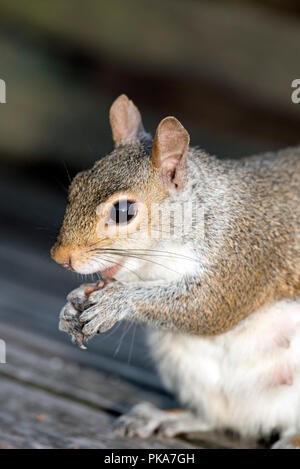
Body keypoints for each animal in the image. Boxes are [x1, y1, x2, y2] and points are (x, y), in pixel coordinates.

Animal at [51, 93, 300, 448]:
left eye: (123, 211)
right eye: (76, 185)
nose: (60, 257)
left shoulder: (243, 257)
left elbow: (210, 307)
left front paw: (117, 302)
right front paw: (72, 304)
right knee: (216, 418)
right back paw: (162, 417)